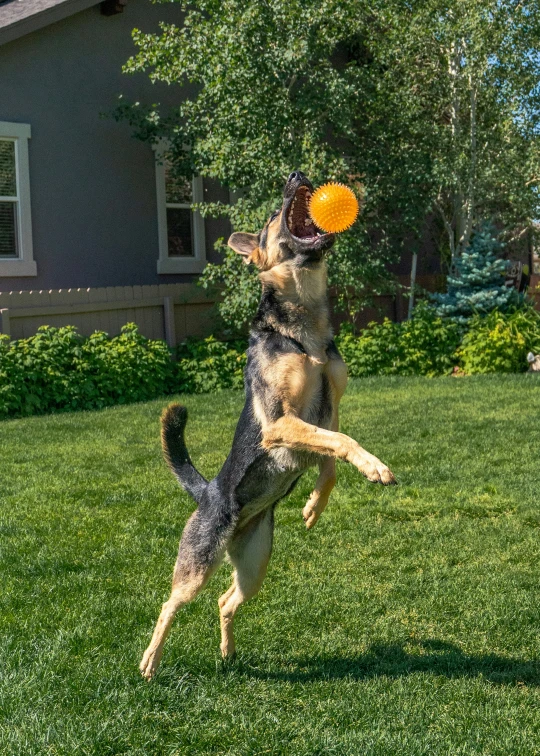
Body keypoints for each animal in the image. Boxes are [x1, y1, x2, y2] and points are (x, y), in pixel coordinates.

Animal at [139, 171, 396, 680]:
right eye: (275, 216)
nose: (297, 175)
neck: (305, 324)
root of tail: (208, 493)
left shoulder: (331, 406)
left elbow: (330, 457)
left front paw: (315, 504)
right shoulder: (281, 422)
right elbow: (341, 441)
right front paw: (373, 466)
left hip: (255, 564)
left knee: (225, 600)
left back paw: (228, 654)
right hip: (197, 564)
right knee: (168, 606)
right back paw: (150, 662)